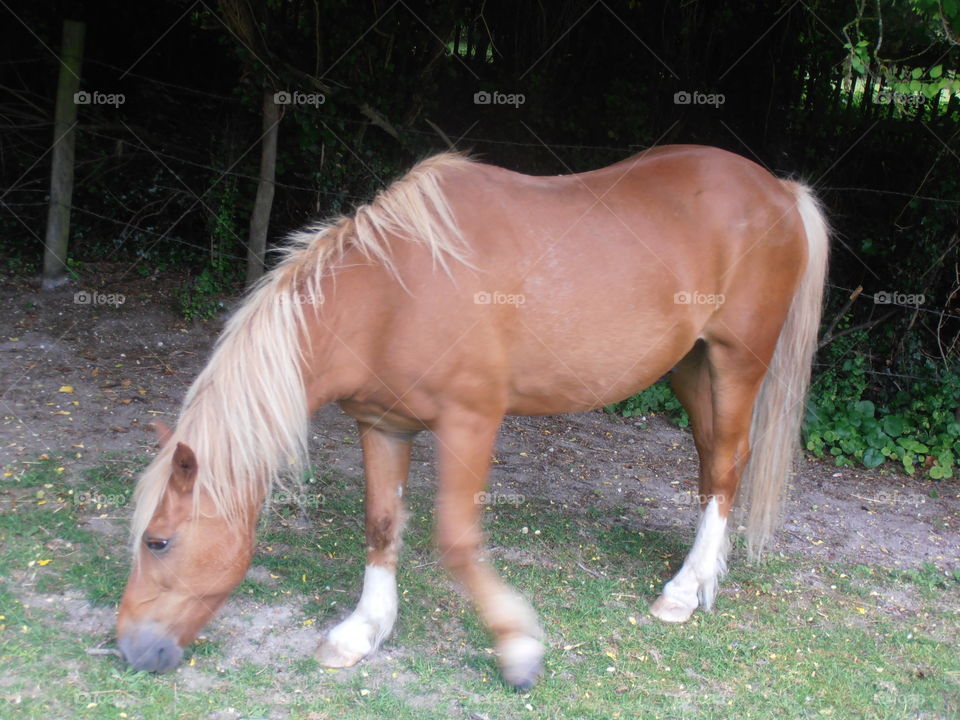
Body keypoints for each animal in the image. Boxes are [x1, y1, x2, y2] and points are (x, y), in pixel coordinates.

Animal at [118, 145, 824, 688]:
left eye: (159, 541)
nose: (128, 647)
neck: (391, 293)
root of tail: (778, 189)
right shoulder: (383, 425)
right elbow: (381, 525)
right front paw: (363, 632)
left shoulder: (471, 422)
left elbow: (456, 540)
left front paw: (518, 646)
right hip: (689, 367)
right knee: (712, 461)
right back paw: (700, 578)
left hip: (737, 363)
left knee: (728, 463)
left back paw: (683, 592)